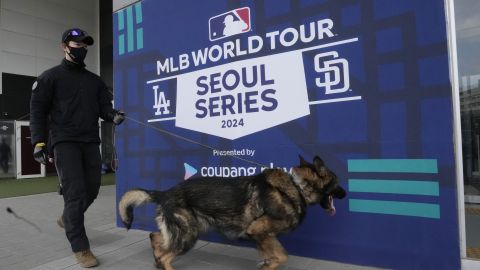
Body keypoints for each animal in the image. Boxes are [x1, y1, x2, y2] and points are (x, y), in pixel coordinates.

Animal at [118, 155, 346, 268]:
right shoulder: (258, 230)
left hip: (183, 231)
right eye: (337, 183)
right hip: (188, 235)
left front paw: (266, 263)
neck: (297, 187)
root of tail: (165, 193)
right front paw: (267, 264)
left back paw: (156, 257)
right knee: (166, 256)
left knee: (156, 238)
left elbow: (277, 254)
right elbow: (281, 257)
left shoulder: (264, 236)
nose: (345, 193)